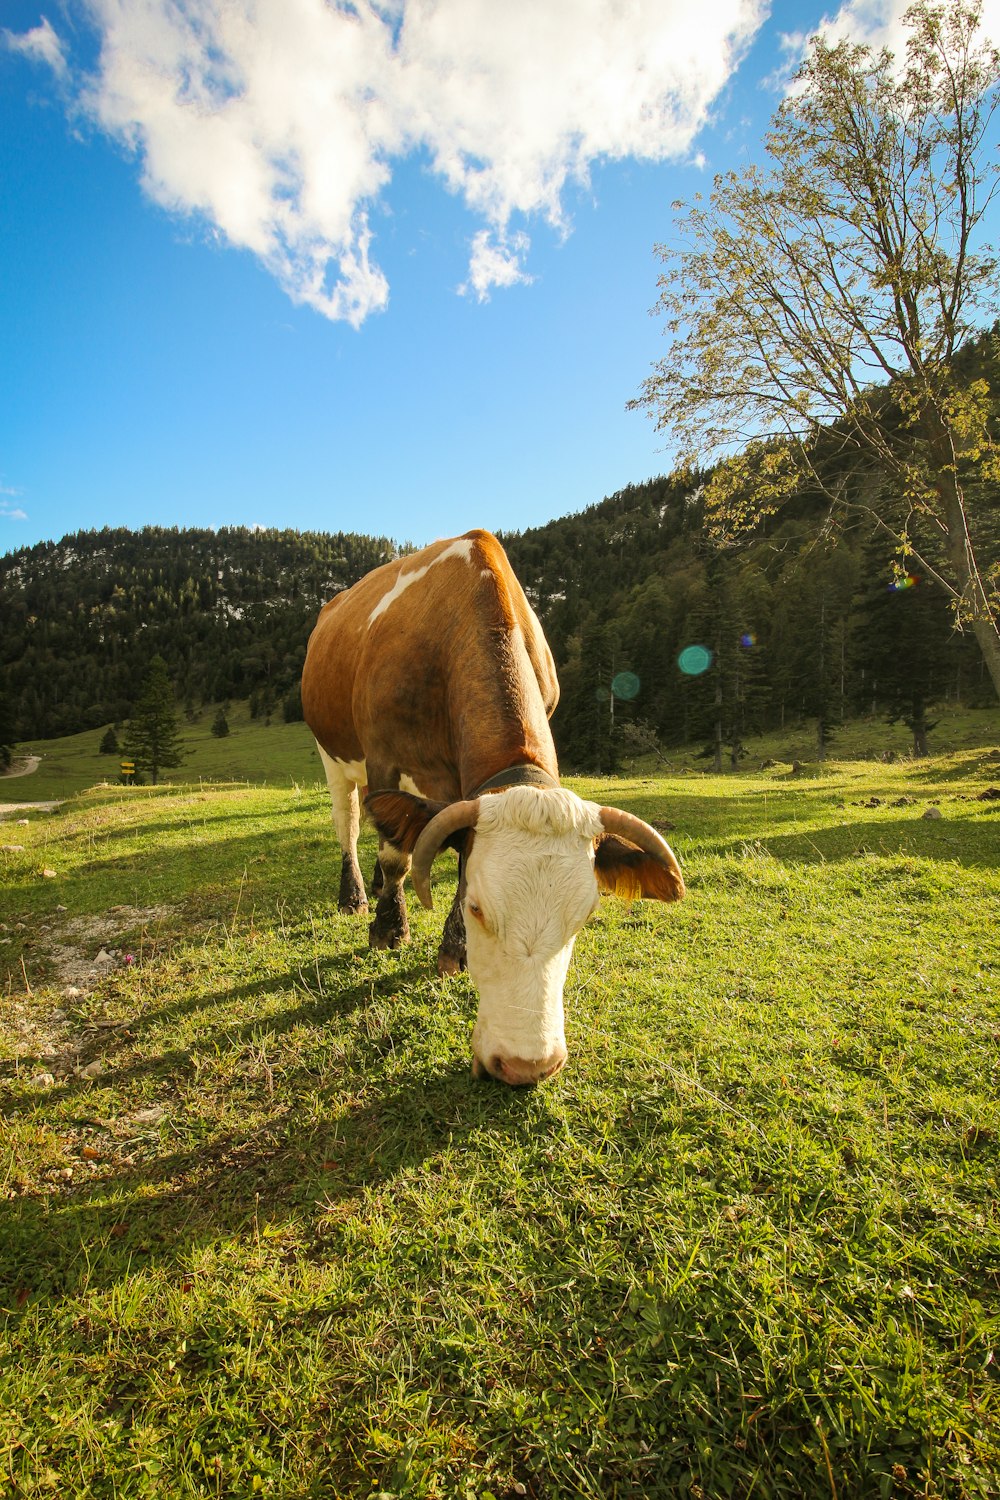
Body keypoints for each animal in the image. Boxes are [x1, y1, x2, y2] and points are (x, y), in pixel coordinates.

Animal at [301, 534, 683, 1086]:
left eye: (586, 915)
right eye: (481, 908)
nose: (527, 1066)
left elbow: (446, 852)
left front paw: (453, 949)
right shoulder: (384, 759)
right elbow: (398, 855)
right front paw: (390, 929)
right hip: (333, 755)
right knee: (350, 825)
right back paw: (355, 894)